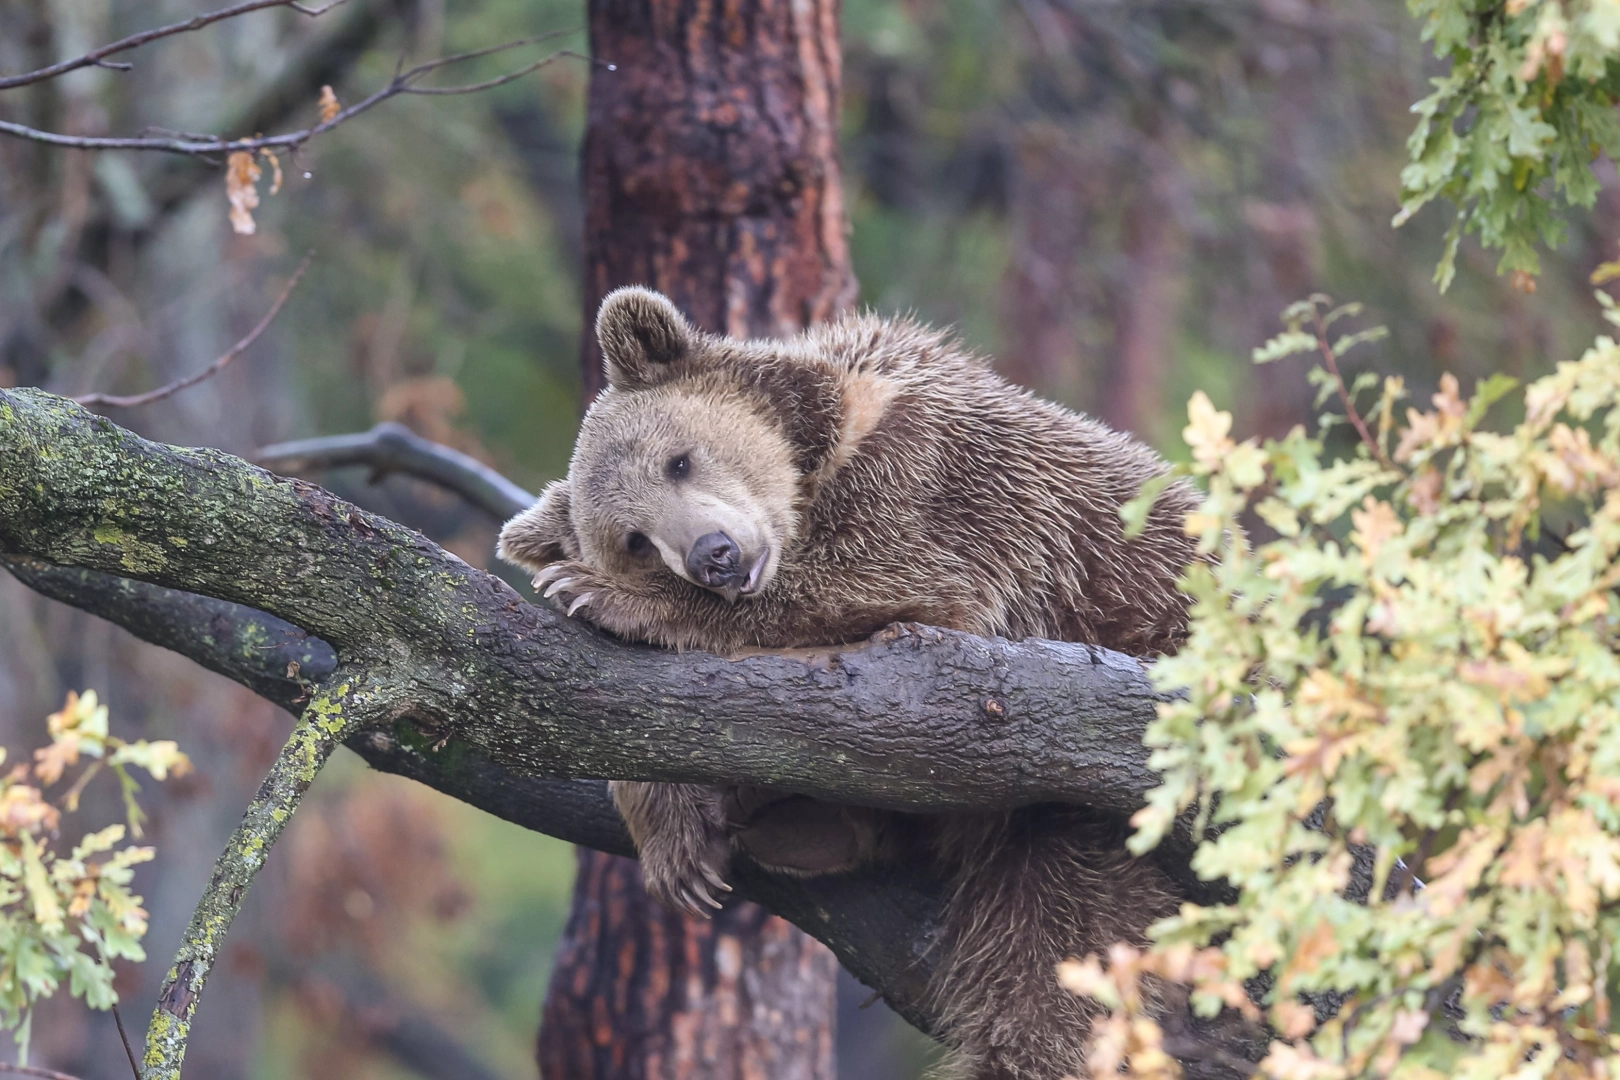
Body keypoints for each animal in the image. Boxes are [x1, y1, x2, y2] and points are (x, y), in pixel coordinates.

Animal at [502, 284, 1205, 1080]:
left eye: (679, 461)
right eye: (635, 540)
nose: (715, 556)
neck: (821, 453)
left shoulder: (945, 481)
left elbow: (877, 578)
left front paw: (595, 592)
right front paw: (678, 843)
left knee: (1056, 938)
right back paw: (796, 824)